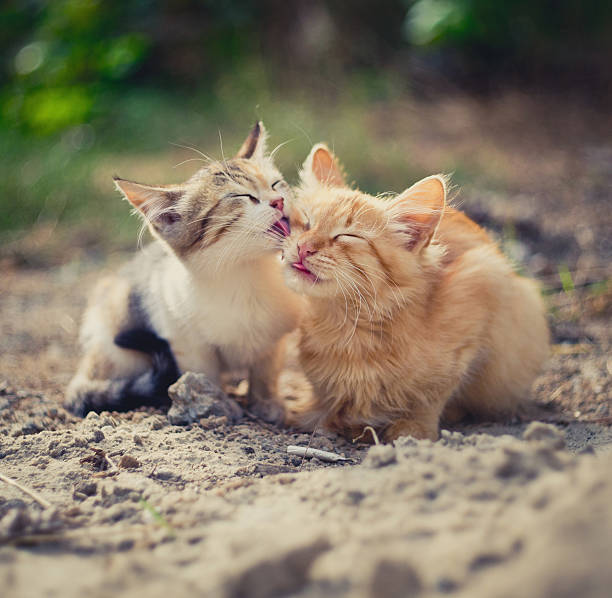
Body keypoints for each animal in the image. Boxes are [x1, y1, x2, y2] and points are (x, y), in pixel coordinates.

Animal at [66, 124, 302, 420]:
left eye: (275, 184)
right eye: (241, 196)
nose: (279, 201)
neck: (245, 275)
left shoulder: (274, 335)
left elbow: (266, 371)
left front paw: (267, 402)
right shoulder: (185, 340)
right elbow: (204, 373)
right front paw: (214, 402)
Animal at [282, 144, 548, 446]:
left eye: (346, 236)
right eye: (305, 223)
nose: (303, 247)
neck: (349, 330)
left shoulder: (481, 283)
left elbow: (433, 394)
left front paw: (413, 428)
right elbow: (324, 394)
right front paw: (321, 415)